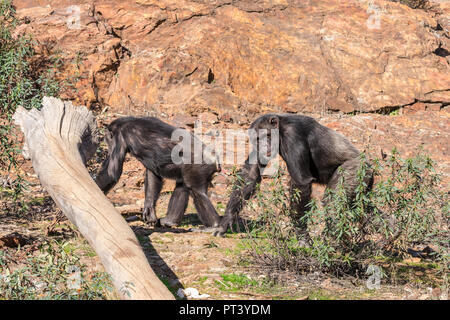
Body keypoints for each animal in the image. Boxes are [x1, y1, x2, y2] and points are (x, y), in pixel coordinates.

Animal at [213, 114, 374, 236]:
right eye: (257, 139)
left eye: (265, 135)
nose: (263, 145)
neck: (281, 129)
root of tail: (367, 162)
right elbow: (250, 175)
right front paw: (226, 220)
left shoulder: (293, 136)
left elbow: (300, 182)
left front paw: (301, 235)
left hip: (354, 169)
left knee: (333, 201)